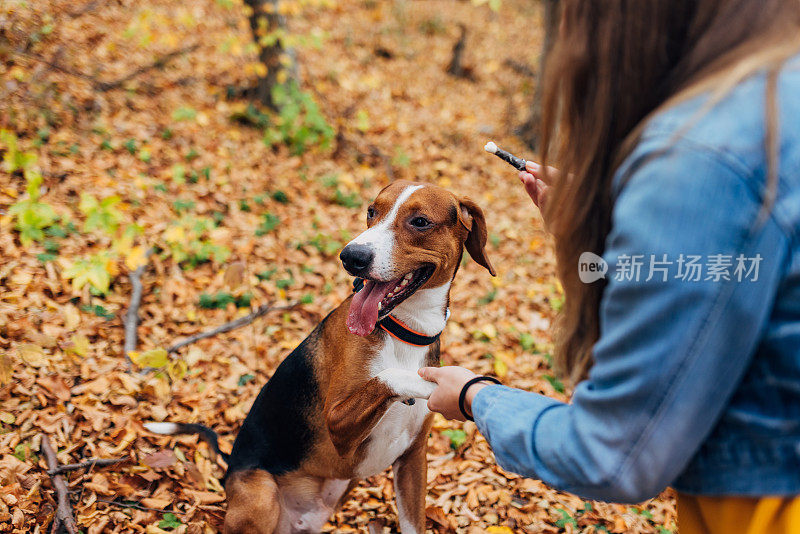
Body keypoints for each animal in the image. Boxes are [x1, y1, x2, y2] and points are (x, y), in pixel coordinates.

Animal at [145, 182, 494, 532]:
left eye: (420, 222)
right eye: (371, 211)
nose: (351, 256)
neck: (404, 332)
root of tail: (231, 466)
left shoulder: (413, 460)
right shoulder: (338, 426)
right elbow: (388, 376)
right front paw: (437, 386)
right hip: (261, 499)